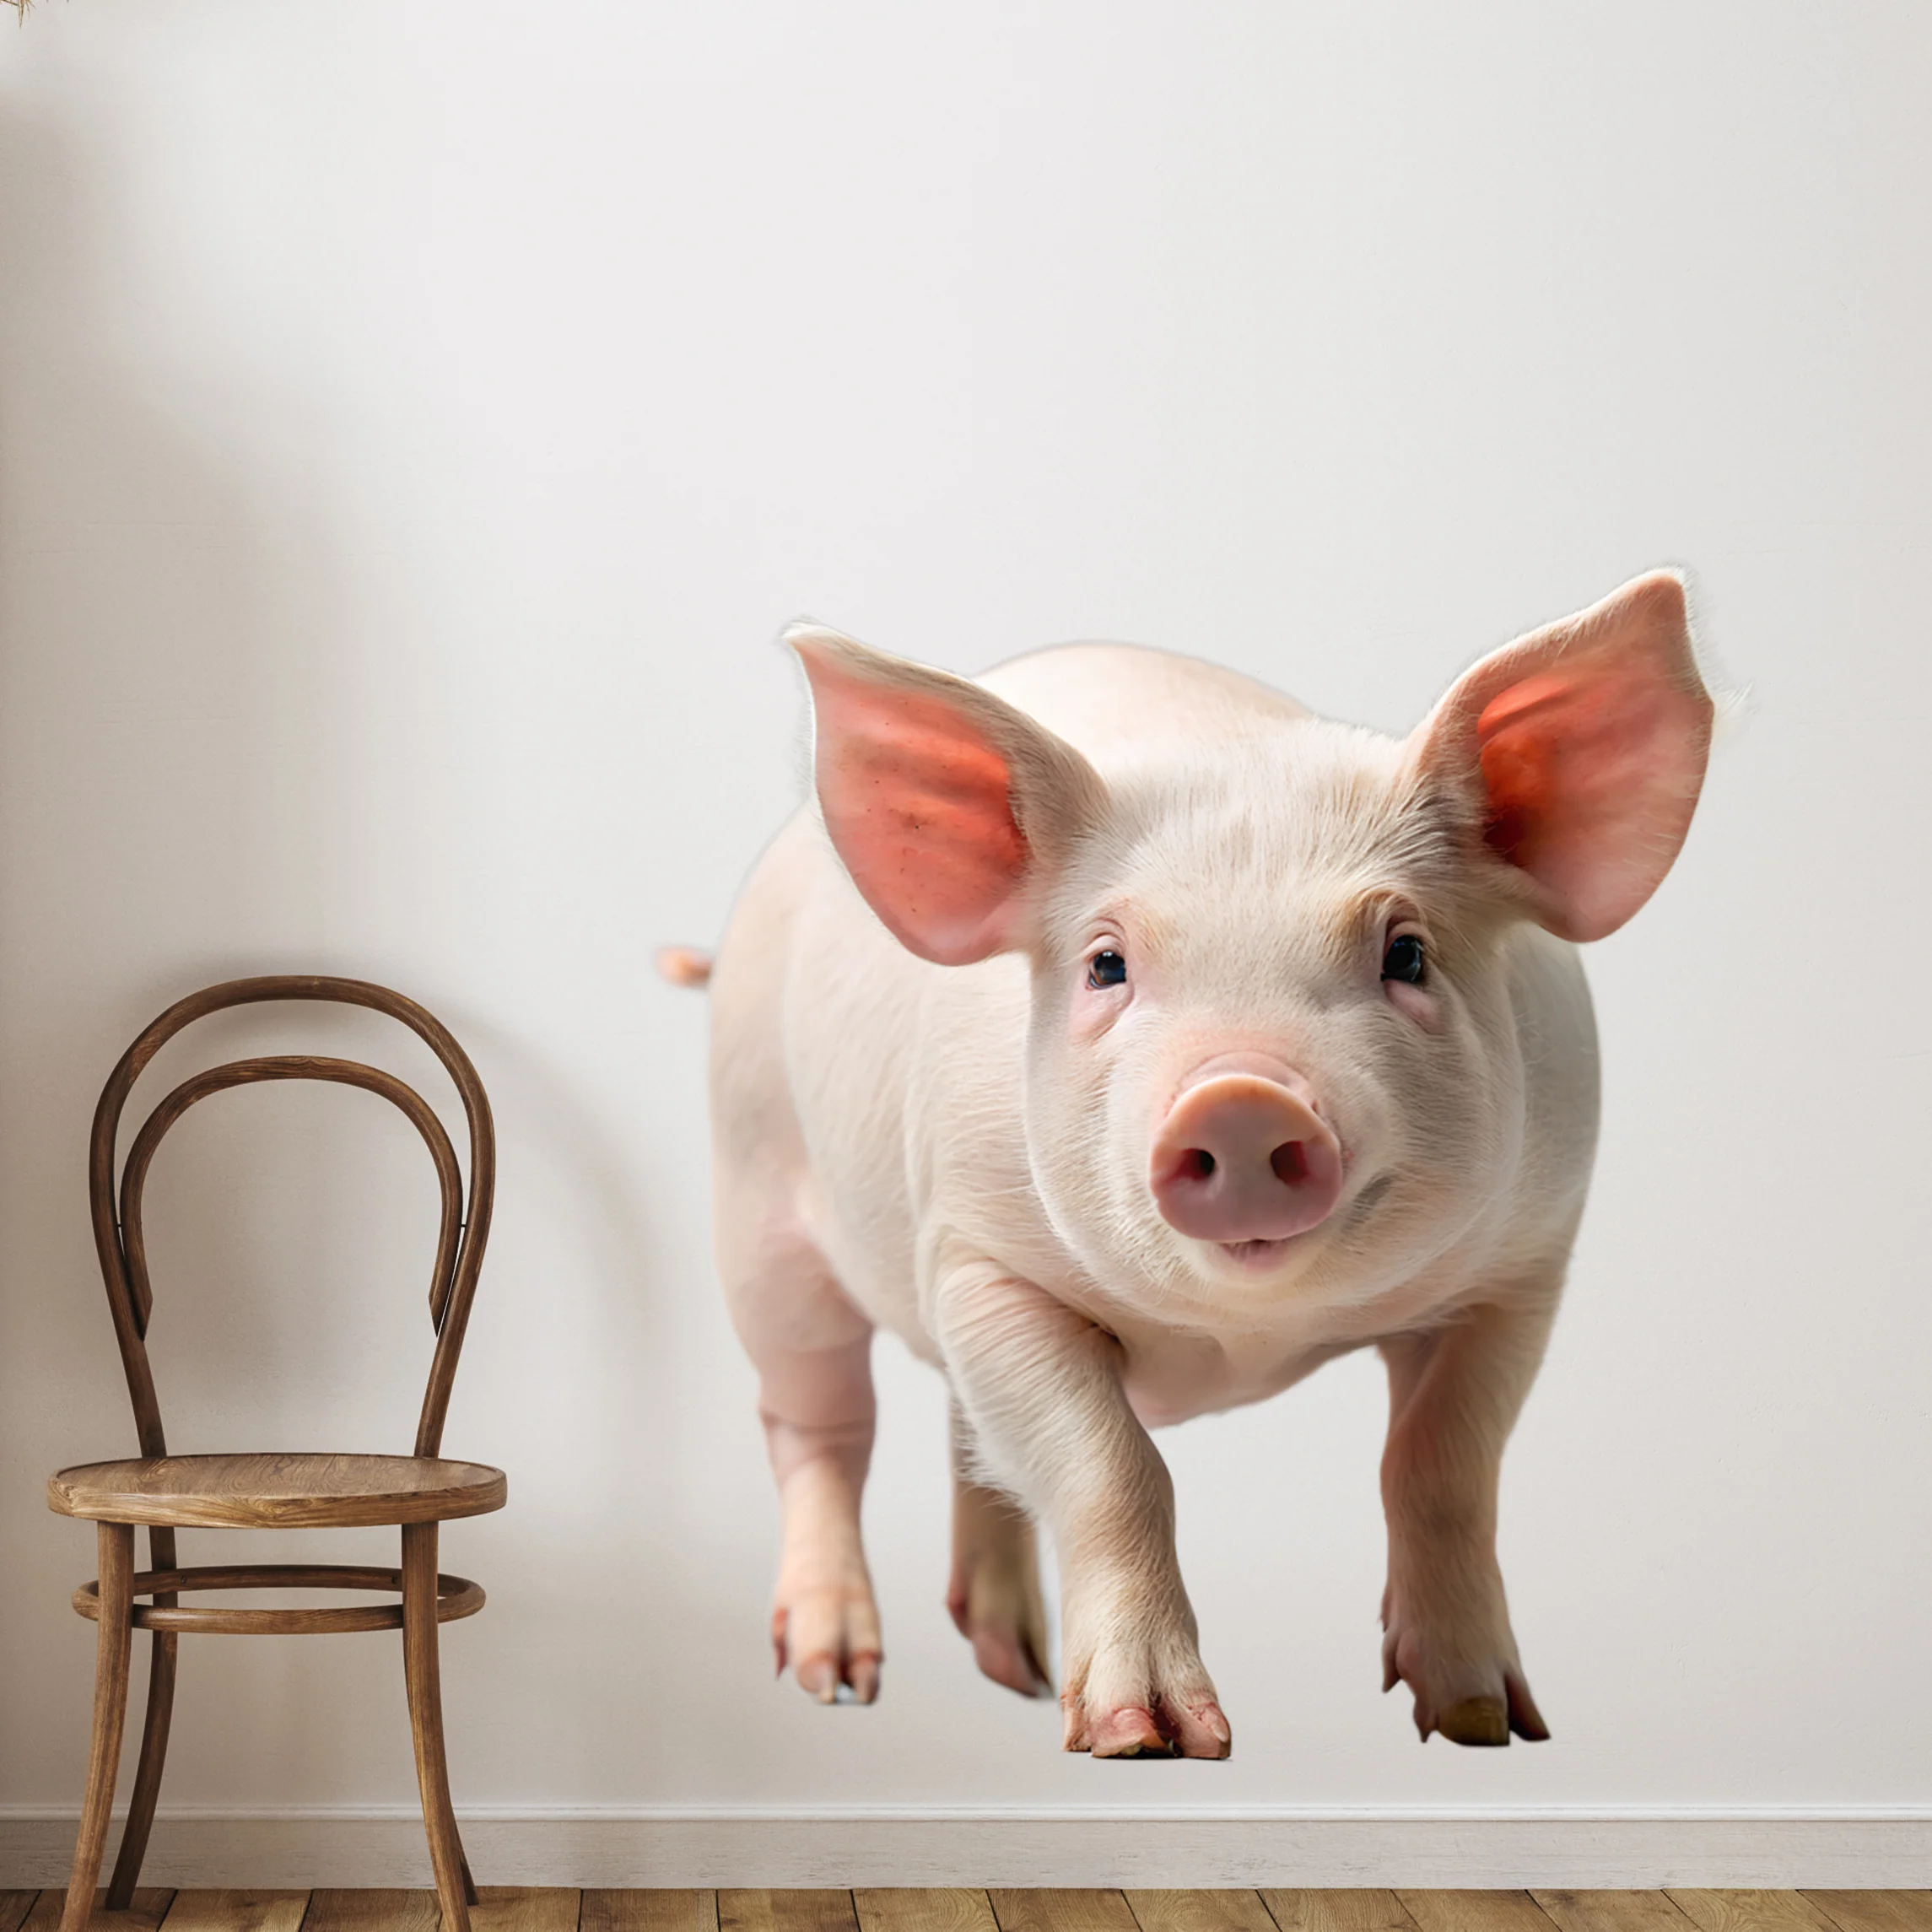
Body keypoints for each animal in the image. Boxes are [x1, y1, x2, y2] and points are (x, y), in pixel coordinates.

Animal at [690, 571, 1712, 1757]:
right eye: (1106, 964)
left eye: (1406, 953)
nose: (1240, 1095)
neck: (1240, 1339)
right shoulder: (982, 1256)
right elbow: (1112, 1466)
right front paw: (1150, 1740)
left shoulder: (1526, 1264)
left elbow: (1443, 1466)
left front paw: (1483, 1724)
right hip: (754, 1196)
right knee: (817, 1424)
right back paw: (839, 1678)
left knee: (965, 1436)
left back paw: (1013, 1670)